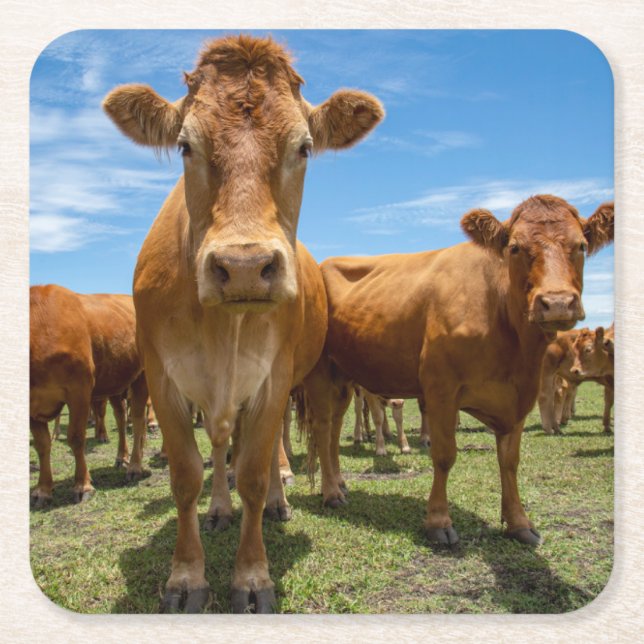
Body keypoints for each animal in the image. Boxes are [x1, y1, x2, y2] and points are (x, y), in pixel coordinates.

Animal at [30, 285, 149, 506]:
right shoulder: (32, 406)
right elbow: (42, 445)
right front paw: (42, 490)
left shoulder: (79, 390)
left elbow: (76, 438)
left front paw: (82, 485)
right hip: (115, 380)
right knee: (121, 418)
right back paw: (122, 457)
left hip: (142, 376)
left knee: (137, 419)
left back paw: (135, 466)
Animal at [103, 34, 383, 613]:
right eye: (185, 146)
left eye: (304, 148)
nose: (246, 267)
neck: (221, 331)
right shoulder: (162, 379)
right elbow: (187, 474)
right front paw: (186, 576)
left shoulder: (274, 378)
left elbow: (252, 471)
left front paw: (253, 576)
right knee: (219, 446)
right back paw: (218, 509)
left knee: (280, 444)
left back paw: (280, 498)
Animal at [301, 196, 613, 547]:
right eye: (515, 248)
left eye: (582, 246)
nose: (557, 303)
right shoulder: (441, 389)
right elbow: (444, 454)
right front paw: (438, 521)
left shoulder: (520, 396)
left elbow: (510, 460)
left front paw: (519, 522)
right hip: (320, 372)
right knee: (323, 426)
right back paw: (330, 493)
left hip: (343, 375)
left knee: (335, 426)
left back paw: (339, 483)